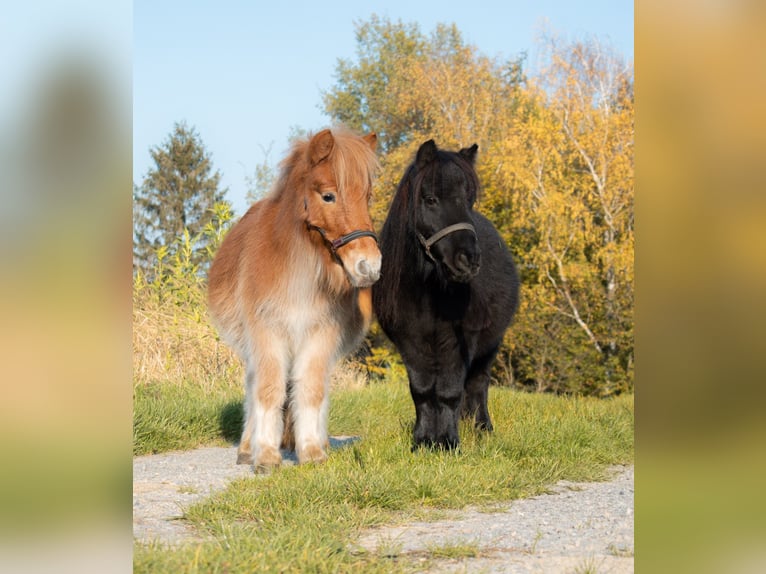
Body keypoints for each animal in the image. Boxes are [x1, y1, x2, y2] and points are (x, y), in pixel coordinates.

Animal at [210, 128, 380, 470]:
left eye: (366, 196)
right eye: (328, 196)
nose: (369, 266)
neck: (301, 273)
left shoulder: (320, 334)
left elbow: (311, 390)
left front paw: (312, 451)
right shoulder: (267, 332)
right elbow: (268, 390)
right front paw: (265, 455)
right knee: (255, 386)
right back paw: (247, 448)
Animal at [374, 140, 520, 450]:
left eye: (468, 201)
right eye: (430, 199)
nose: (469, 260)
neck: (428, 293)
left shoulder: (460, 340)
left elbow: (450, 391)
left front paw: (449, 442)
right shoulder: (410, 340)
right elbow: (421, 390)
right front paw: (423, 441)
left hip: (489, 345)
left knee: (477, 384)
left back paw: (482, 429)